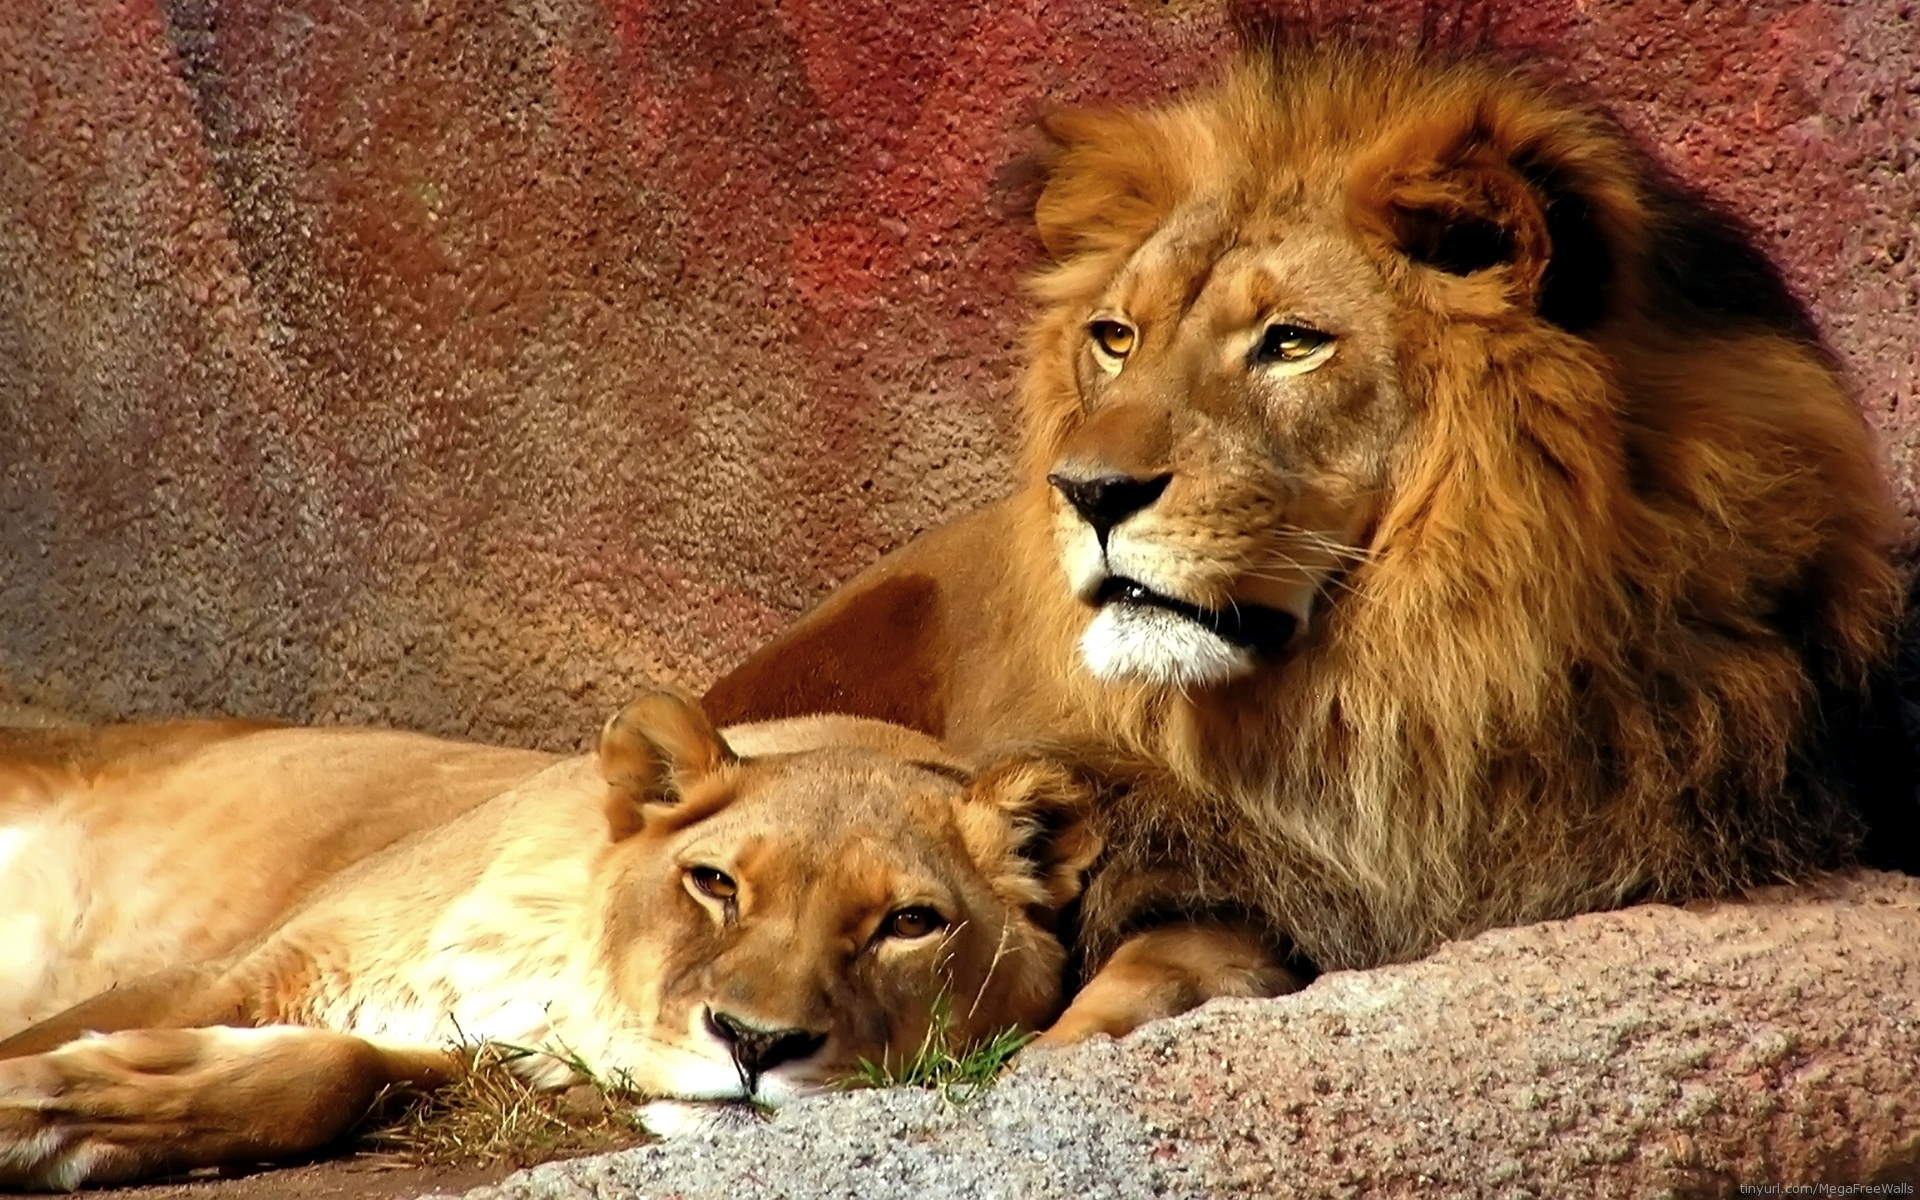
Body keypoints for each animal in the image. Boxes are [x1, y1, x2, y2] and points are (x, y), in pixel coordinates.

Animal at [0, 687, 1098, 1182]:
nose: (756, 1044)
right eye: (714, 884)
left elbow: (334, 1073)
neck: (549, 963)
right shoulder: (245, 965)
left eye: (910, 924)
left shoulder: (467, 1054)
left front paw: (73, 1110)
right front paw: (36, 1096)